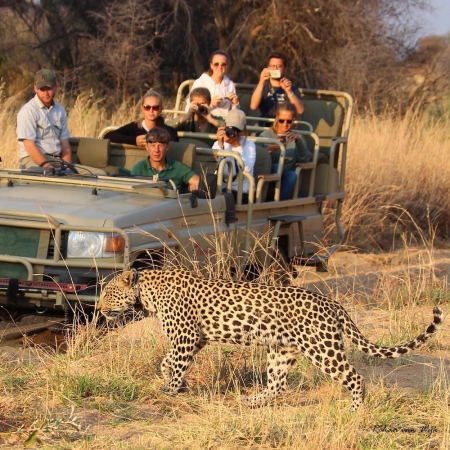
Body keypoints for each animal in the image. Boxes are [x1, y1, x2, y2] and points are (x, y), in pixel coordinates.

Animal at [96, 268, 444, 410]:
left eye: (108, 292)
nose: (98, 308)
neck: (146, 292)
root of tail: (333, 303)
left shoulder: (186, 336)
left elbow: (175, 362)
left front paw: (170, 391)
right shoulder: (196, 338)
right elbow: (170, 361)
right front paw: (173, 382)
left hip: (323, 349)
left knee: (355, 377)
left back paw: (355, 410)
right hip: (282, 350)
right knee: (277, 384)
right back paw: (251, 402)